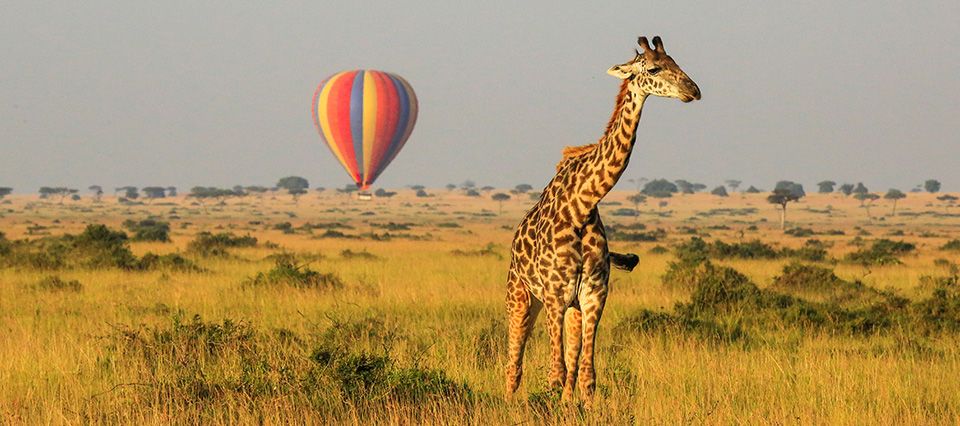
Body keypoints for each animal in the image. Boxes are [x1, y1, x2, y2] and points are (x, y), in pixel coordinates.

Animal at [506, 35, 700, 402]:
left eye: (678, 63)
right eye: (654, 69)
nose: (693, 90)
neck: (581, 205)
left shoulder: (594, 293)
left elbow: (585, 376)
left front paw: (578, 406)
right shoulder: (555, 293)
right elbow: (555, 374)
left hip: (570, 308)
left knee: (567, 367)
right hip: (520, 296)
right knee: (514, 365)